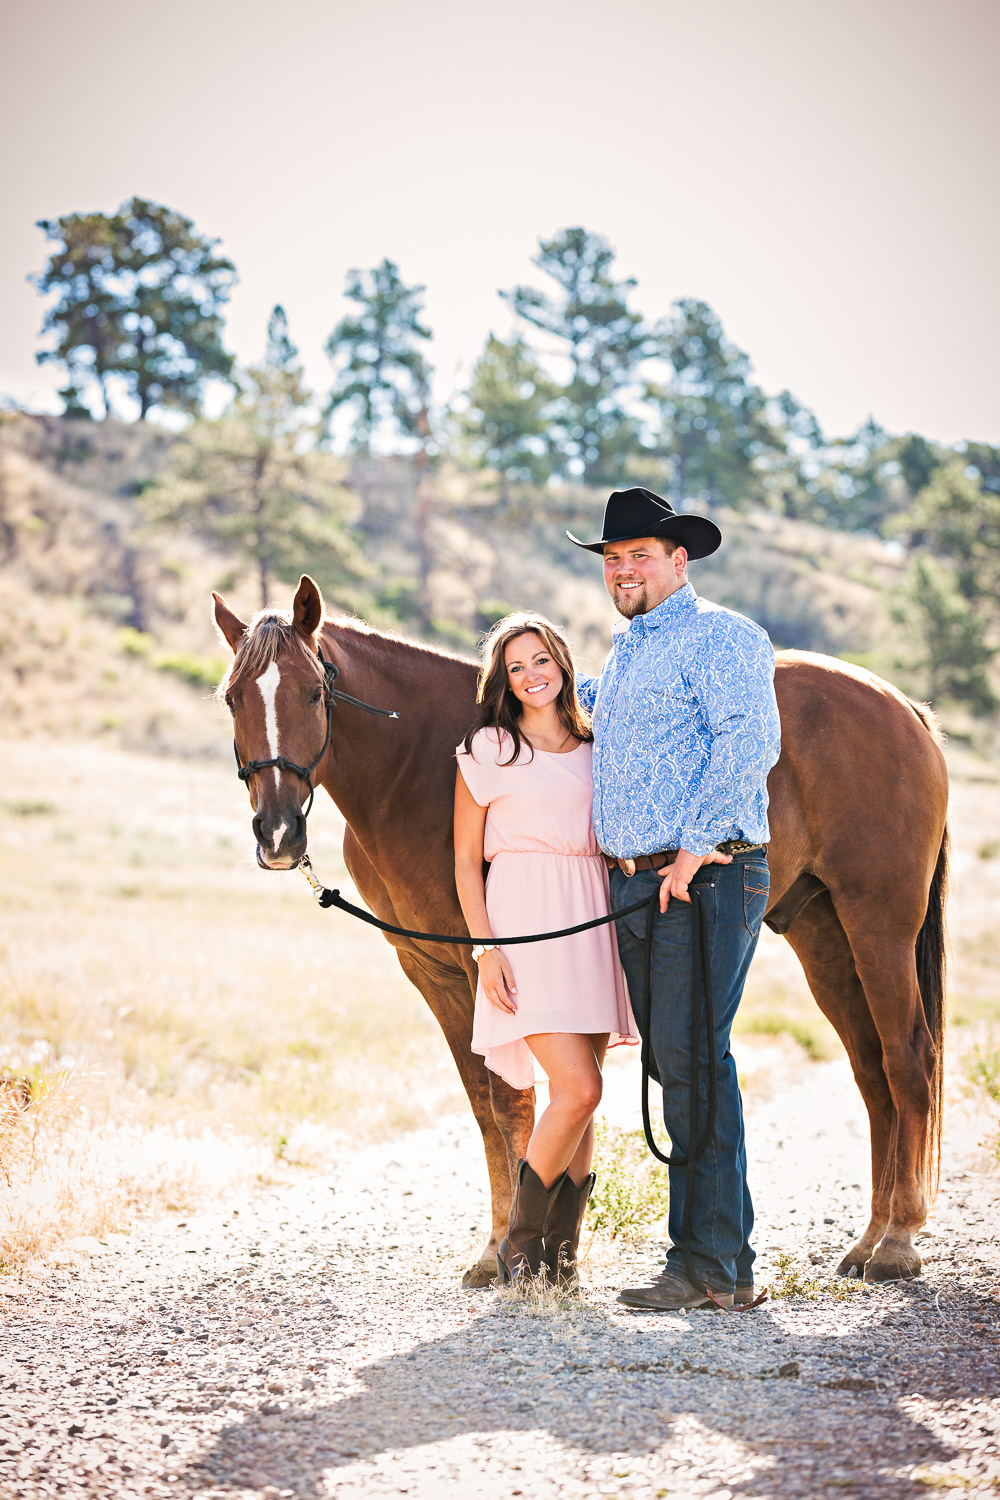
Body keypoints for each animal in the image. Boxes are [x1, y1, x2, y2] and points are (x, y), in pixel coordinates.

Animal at [211, 573, 947, 1290]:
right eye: (232, 700)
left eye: (313, 692)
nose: (278, 834)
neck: (420, 768)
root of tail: (901, 706)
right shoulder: (434, 971)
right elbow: (483, 1103)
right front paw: (505, 1245)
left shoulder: (488, 967)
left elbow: (510, 1101)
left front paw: (503, 1253)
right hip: (824, 935)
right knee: (872, 1070)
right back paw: (867, 1239)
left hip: (878, 927)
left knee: (908, 1058)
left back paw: (896, 1244)